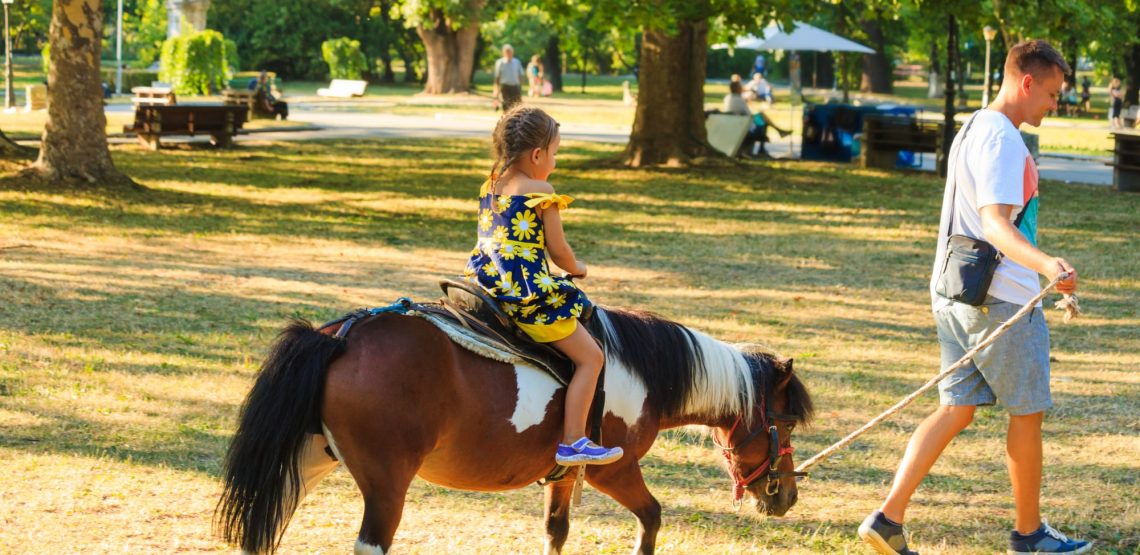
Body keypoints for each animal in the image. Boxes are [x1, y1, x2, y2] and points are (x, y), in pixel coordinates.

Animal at [217, 307, 816, 555]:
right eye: (784, 422)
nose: (786, 495)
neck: (638, 369)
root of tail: (340, 336)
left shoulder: (566, 474)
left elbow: (556, 532)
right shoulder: (616, 470)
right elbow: (651, 518)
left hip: (306, 461)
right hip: (386, 484)